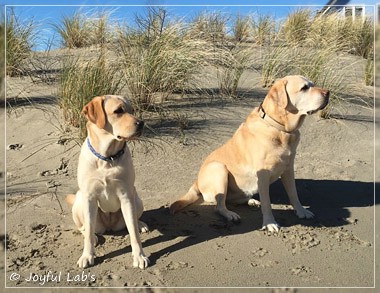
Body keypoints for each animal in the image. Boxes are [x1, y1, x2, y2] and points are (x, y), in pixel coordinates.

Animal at [66, 94, 149, 268]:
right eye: (118, 111)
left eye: (132, 110)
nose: (141, 123)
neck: (107, 158)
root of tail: (110, 227)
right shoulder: (89, 198)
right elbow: (88, 231)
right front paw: (87, 255)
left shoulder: (126, 196)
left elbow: (133, 233)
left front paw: (139, 256)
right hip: (79, 203)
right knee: (85, 228)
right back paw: (93, 236)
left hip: (137, 198)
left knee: (133, 221)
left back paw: (141, 224)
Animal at [171, 75, 330, 233]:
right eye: (304, 88)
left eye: (312, 84)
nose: (328, 92)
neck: (280, 129)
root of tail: (196, 182)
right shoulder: (263, 174)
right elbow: (267, 203)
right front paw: (269, 223)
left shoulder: (288, 168)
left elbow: (293, 194)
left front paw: (301, 211)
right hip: (219, 168)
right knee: (219, 206)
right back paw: (230, 214)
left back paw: (251, 201)